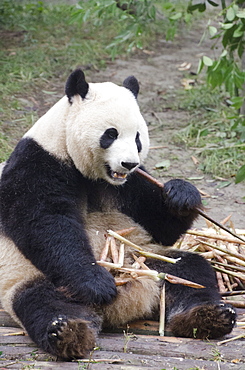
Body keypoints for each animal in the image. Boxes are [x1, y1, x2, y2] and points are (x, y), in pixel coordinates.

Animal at [0, 68, 236, 358]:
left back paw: (208, 316)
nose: (128, 163)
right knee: (42, 301)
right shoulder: (38, 163)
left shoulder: (133, 183)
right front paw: (96, 284)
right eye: (110, 134)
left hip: (149, 259)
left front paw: (181, 194)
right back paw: (68, 331)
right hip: (33, 276)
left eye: (137, 137)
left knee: (191, 273)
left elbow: (160, 225)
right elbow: (46, 223)